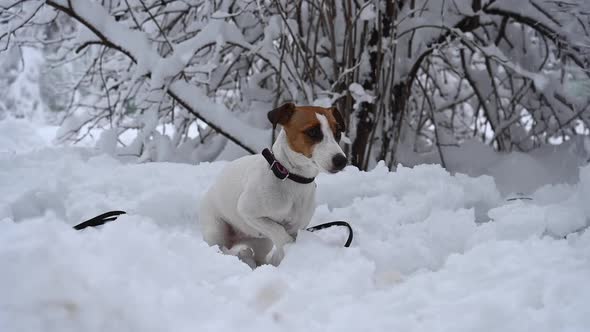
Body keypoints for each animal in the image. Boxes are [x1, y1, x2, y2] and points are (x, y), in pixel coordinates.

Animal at [200, 102, 346, 268]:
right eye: (313, 131)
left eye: (338, 133)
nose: (341, 160)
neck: (291, 178)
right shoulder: (248, 212)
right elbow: (279, 232)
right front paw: (289, 248)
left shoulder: (296, 226)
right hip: (216, 231)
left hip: (262, 243)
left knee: (260, 257)